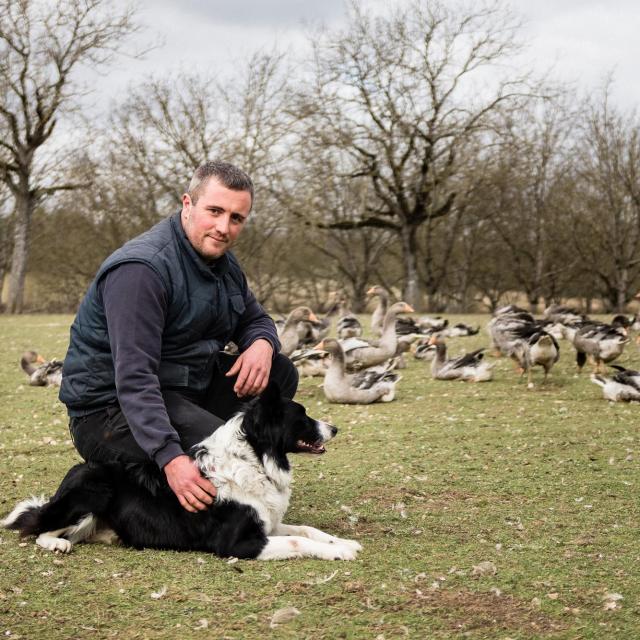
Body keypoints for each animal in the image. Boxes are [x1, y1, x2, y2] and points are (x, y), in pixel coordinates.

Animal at [2, 384, 362, 560]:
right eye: (302, 416)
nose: (335, 428)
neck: (254, 459)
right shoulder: (238, 542)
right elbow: (297, 541)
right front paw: (339, 552)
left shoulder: (268, 523)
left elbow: (305, 530)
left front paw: (342, 541)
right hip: (92, 490)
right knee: (36, 527)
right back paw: (57, 544)